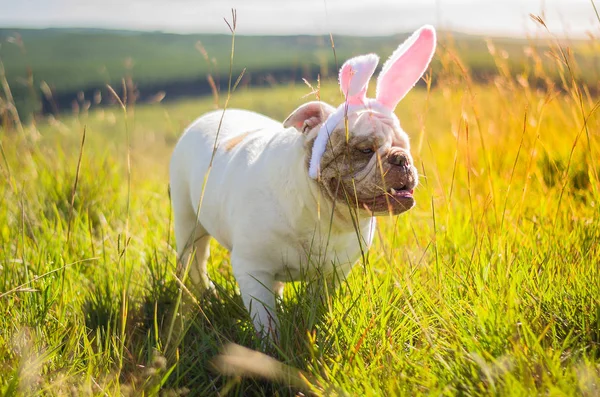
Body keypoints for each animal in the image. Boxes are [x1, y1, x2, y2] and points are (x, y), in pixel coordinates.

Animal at [169, 24, 436, 336]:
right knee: (194, 258)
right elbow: (265, 318)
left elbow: (318, 301)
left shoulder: (334, 271)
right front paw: (270, 343)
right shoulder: (252, 270)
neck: (323, 213)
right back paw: (204, 292)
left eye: (404, 145)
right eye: (365, 150)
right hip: (188, 221)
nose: (402, 159)